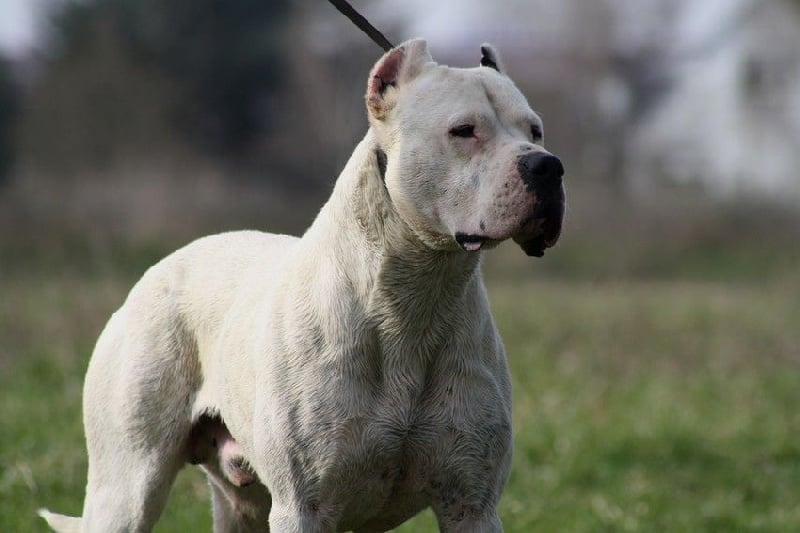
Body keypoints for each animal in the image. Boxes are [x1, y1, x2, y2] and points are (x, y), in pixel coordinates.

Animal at [39, 39, 565, 532]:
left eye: (535, 131)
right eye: (464, 131)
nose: (547, 166)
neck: (413, 295)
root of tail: (158, 270)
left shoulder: (471, 505)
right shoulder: (303, 507)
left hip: (243, 505)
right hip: (127, 485)